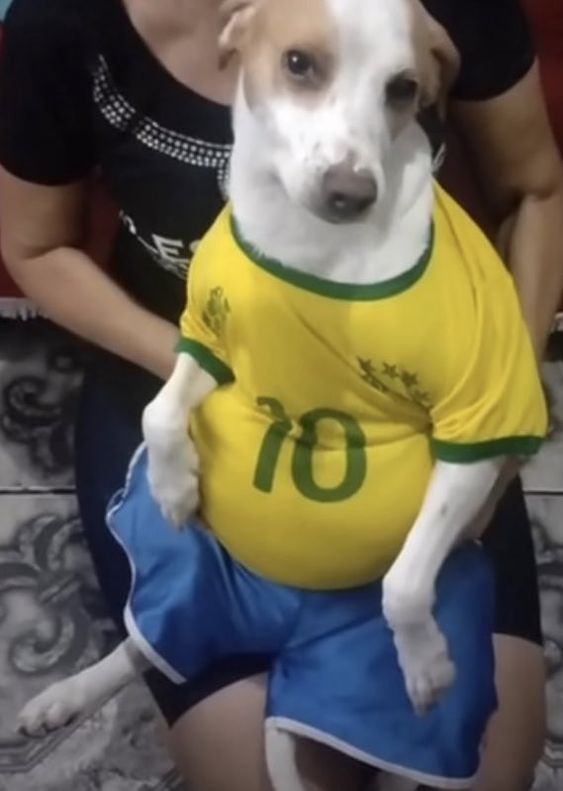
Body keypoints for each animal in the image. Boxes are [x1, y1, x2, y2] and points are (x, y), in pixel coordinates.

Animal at [16, 3, 548, 788]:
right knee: (149, 644)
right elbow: (158, 409)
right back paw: (63, 696)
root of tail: (274, 628)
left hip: (308, 736)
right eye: (298, 63)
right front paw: (175, 485)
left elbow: (403, 580)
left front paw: (424, 662)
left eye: (404, 88)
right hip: (199, 607)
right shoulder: (208, 338)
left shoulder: (478, 428)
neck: (312, 254)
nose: (350, 194)